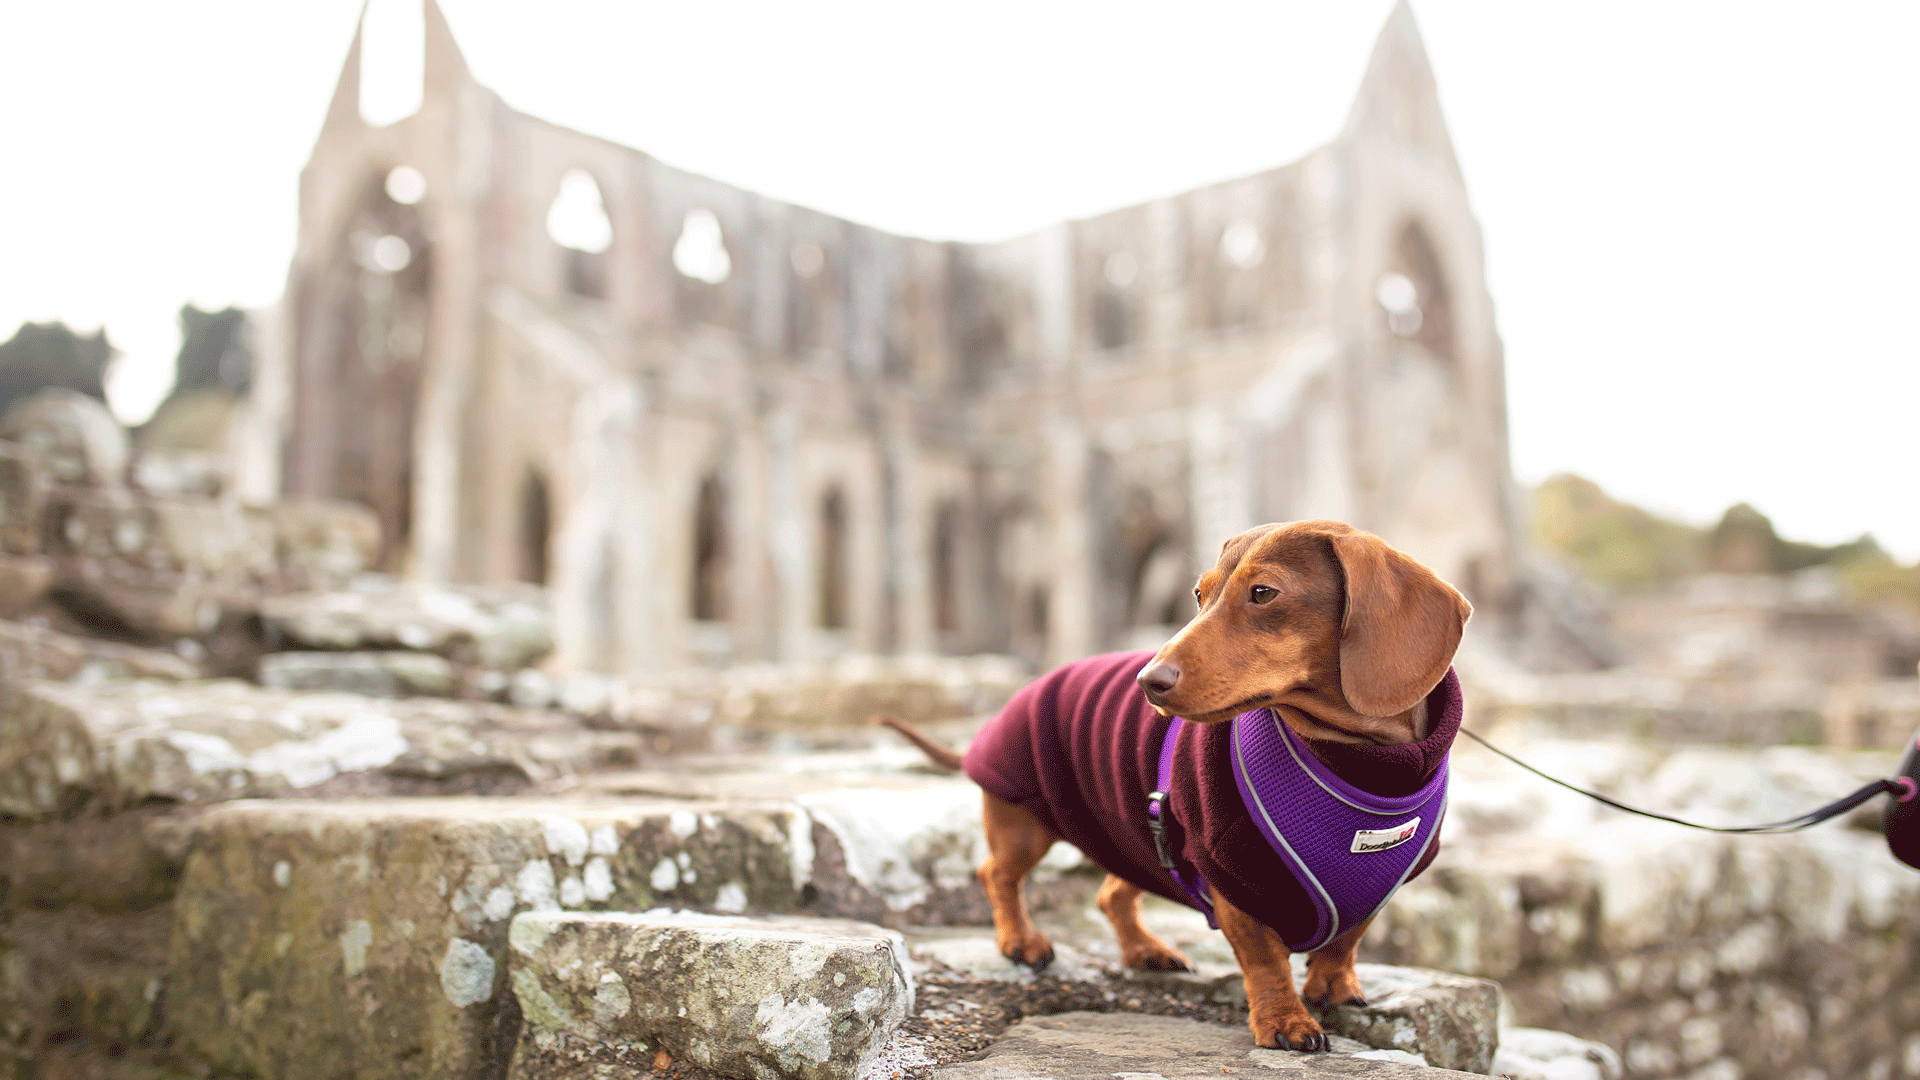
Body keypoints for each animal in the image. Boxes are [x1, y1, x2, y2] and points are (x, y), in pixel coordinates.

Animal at [883, 518, 1466, 1045]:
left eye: (1263, 592)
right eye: (1199, 594)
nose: (1148, 681)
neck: (1355, 762)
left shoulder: (1382, 884)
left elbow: (1347, 941)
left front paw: (1334, 987)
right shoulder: (1229, 876)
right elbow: (1266, 959)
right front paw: (1285, 1021)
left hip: (1139, 837)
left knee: (1111, 895)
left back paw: (1145, 950)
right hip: (1025, 824)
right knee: (996, 874)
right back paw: (1020, 940)